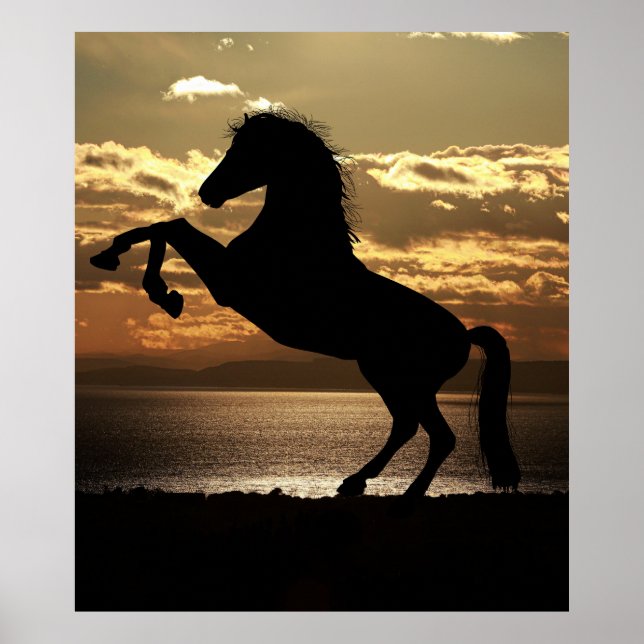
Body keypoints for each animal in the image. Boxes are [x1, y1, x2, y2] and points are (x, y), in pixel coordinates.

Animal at [90, 109, 521, 500]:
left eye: (245, 149)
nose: (206, 193)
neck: (297, 239)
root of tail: (464, 335)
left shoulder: (229, 283)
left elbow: (171, 227)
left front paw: (160, 291)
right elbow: (162, 227)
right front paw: (115, 260)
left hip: (404, 381)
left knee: (436, 435)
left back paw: (405, 493)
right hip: (388, 377)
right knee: (408, 427)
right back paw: (355, 482)